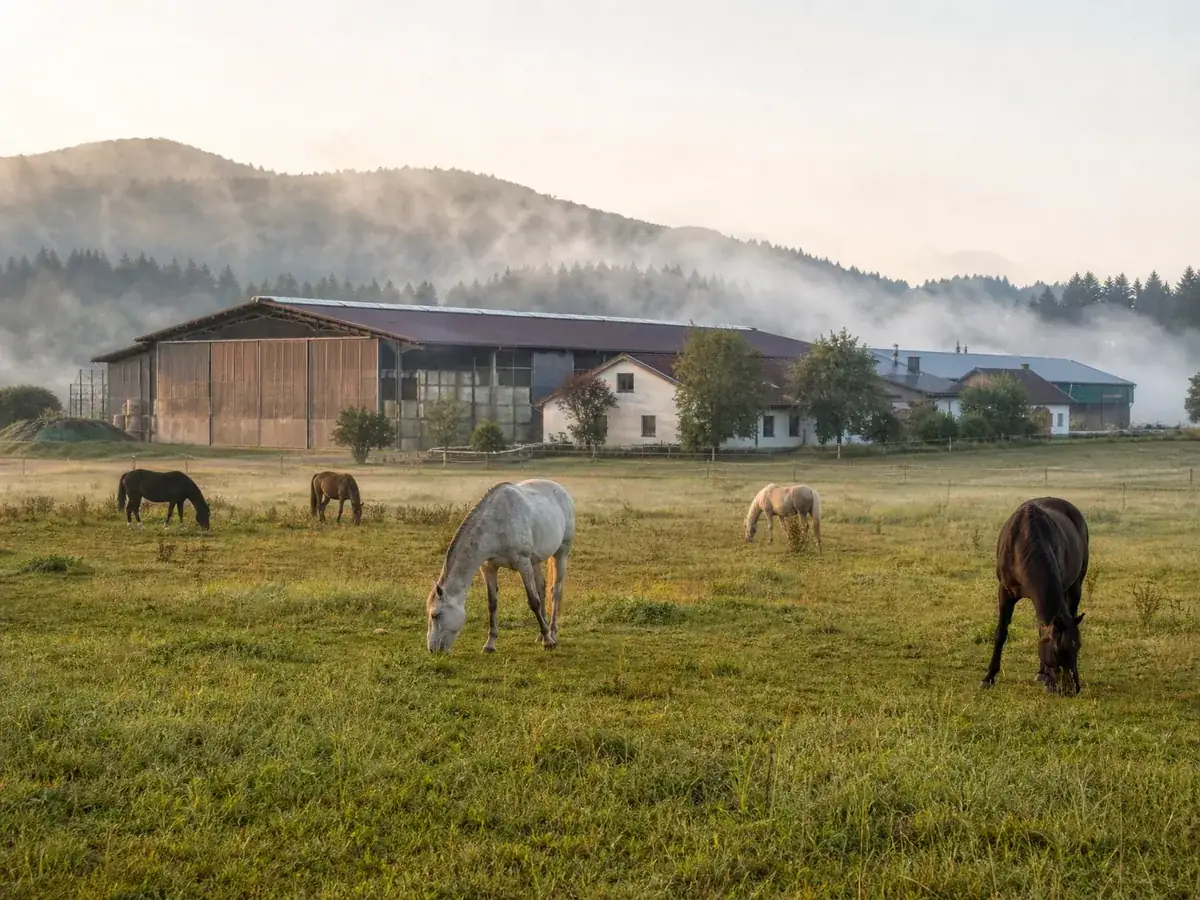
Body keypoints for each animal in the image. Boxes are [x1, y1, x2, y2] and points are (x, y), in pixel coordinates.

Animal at [426, 478, 575, 654]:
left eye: (435, 615)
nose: (432, 649)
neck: (495, 524)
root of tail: (561, 489)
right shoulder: (488, 567)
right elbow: (492, 604)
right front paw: (490, 644)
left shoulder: (523, 564)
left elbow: (533, 602)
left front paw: (548, 641)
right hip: (535, 560)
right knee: (541, 587)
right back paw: (540, 634)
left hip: (561, 552)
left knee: (555, 591)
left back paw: (551, 633)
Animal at [980, 496, 1089, 696]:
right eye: (1057, 650)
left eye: (1078, 646)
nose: (1073, 688)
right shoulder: (1005, 592)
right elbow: (1001, 633)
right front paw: (989, 677)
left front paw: (1048, 680)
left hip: (1076, 585)